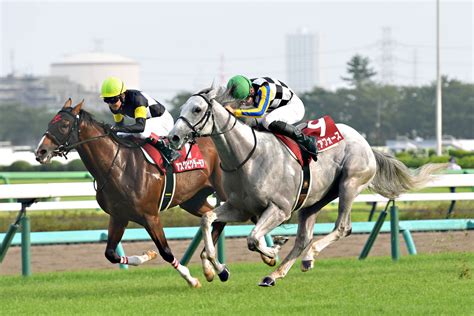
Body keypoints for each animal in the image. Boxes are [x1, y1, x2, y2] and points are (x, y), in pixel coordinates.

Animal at [34, 100, 226, 288]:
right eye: (51, 122)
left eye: (64, 125)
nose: (40, 152)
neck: (119, 166)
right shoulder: (119, 216)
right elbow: (110, 254)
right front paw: (148, 255)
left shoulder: (151, 216)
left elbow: (165, 251)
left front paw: (191, 279)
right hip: (193, 200)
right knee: (214, 218)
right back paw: (213, 267)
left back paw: (213, 266)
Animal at [168, 84, 446, 286]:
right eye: (183, 106)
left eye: (196, 109)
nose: (174, 137)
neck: (246, 157)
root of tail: (366, 143)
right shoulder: (240, 208)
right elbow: (208, 221)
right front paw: (219, 269)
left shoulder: (279, 209)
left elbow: (253, 238)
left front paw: (271, 252)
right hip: (313, 201)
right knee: (303, 238)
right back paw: (274, 275)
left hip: (350, 183)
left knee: (342, 227)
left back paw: (308, 257)